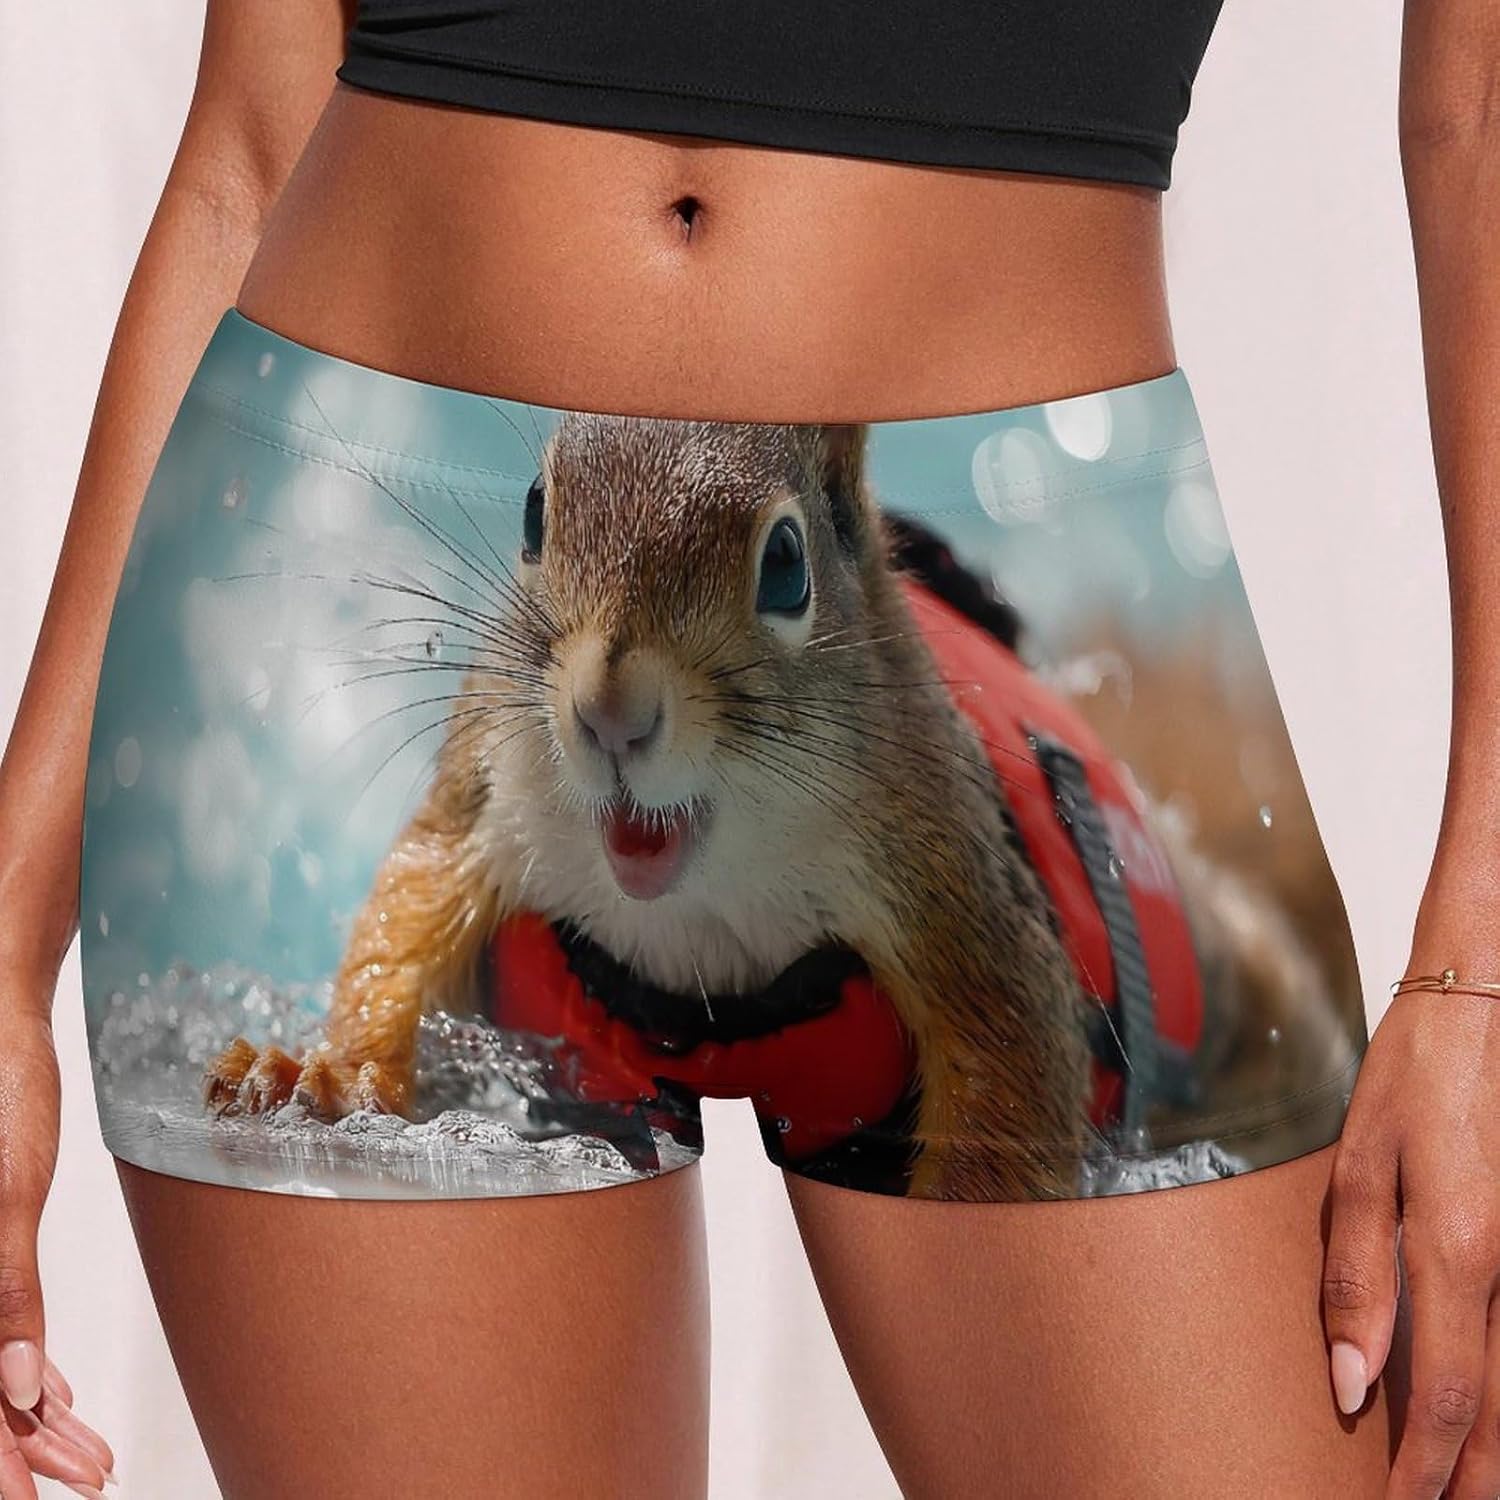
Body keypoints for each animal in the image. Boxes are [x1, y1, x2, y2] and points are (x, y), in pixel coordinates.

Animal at [202, 415, 1346, 1200]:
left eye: (787, 566)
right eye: (533, 510)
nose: (610, 713)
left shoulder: (953, 880)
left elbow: (1013, 1061)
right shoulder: (490, 778)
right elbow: (411, 909)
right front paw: (320, 1076)